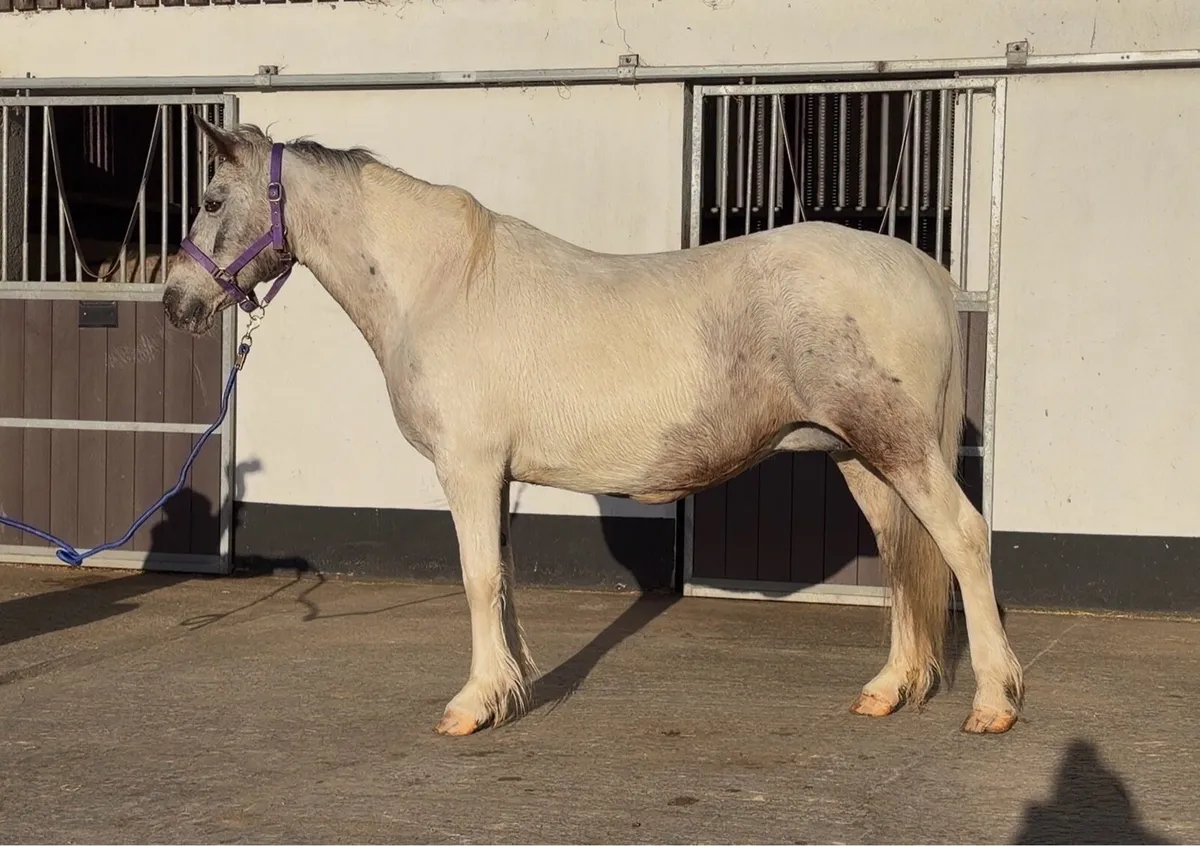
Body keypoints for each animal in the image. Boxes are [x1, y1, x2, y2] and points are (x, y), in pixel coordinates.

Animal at [162, 117, 1024, 738]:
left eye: (210, 200)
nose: (176, 302)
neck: (443, 284)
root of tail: (920, 268)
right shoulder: (495, 476)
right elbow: (501, 576)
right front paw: (508, 690)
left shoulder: (468, 466)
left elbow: (477, 578)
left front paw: (472, 706)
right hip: (859, 456)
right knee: (902, 555)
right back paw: (889, 689)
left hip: (898, 447)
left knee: (961, 537)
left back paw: (994, 702)